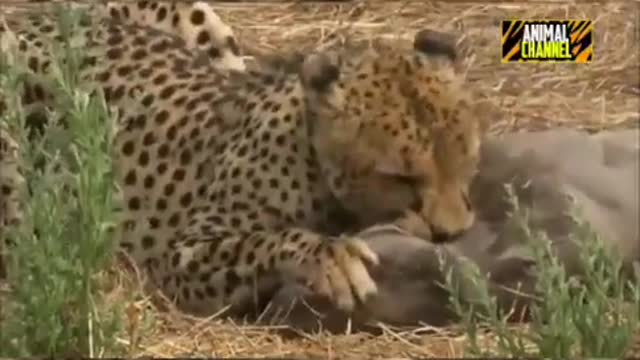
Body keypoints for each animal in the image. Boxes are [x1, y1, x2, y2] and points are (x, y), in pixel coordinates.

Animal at [0, 9, 482, 316]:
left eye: (468, 159)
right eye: (399, 177)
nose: (452, 233)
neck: (312, 160)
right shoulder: (182, 254)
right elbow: (260, 241)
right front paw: (330, 256)